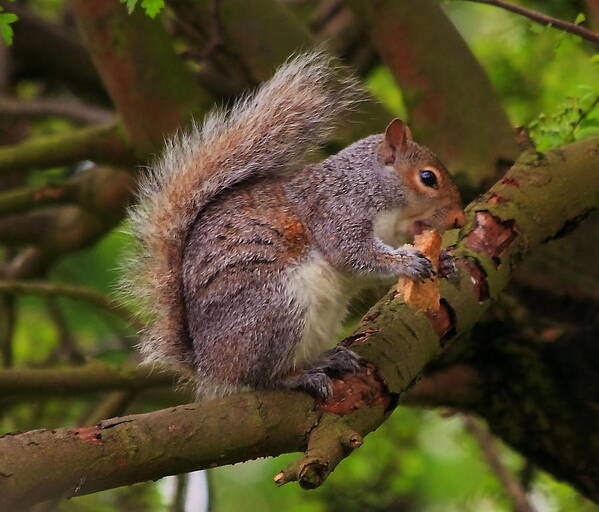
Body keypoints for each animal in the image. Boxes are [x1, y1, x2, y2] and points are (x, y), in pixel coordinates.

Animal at [124, 52, 466, 400]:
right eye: (428, 178)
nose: (459, 220)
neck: (369, 186)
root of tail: (210, 364)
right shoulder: (335, 212)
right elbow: (355, 254)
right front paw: (407, 262)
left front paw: (445, 261)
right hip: (275, 310)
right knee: (261, 377)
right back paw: (297, 378)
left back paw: (329, 358)